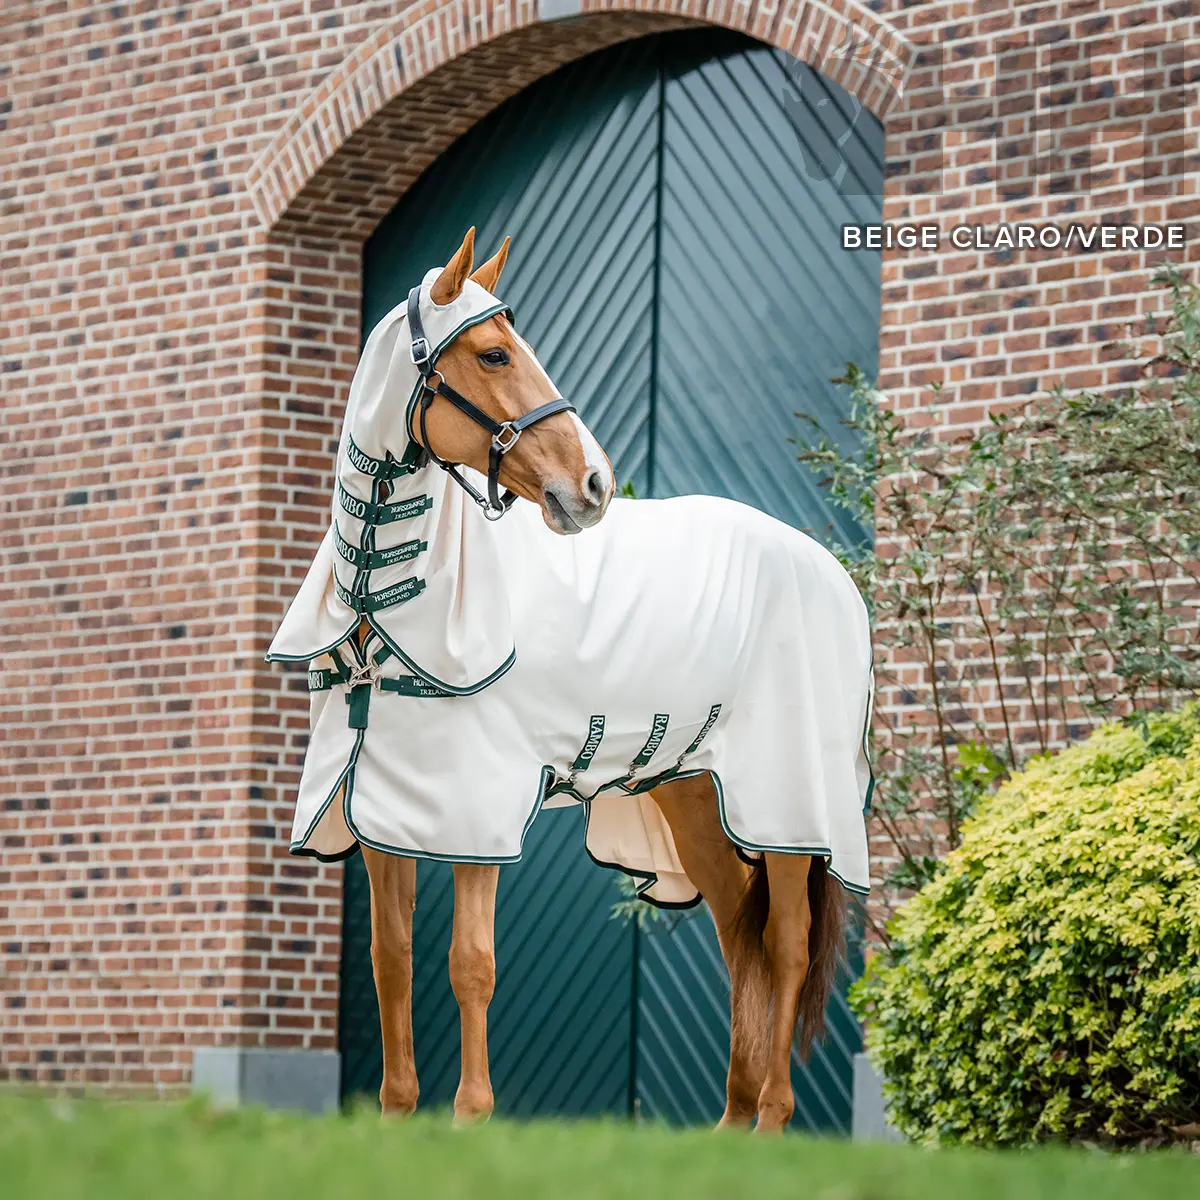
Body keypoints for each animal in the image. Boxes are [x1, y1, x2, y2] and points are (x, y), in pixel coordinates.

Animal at [267, 228, 874, 1133]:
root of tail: (827, 569)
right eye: (492, 353)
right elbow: (392, 959)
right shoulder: (381, 809)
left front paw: (470, 1118)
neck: (390, 596)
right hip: (692, 793)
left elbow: (470, 962)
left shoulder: (473, 808)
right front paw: (399, 1118)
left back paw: (770, 1118)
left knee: (787, 942)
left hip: (790, 808)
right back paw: (732, 1126)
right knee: (740, 931)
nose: (593, 486)